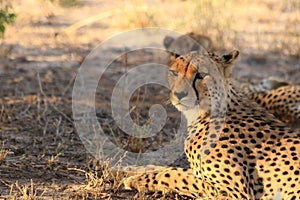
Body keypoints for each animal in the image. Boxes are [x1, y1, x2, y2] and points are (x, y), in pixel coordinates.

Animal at [123, 49, 298, 199]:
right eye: (174, 72)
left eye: (201, 75)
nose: (179, 94)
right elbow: (168, 168)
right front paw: (132, 170)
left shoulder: (234, 192)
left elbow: (173, 174)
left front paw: (136, 179)